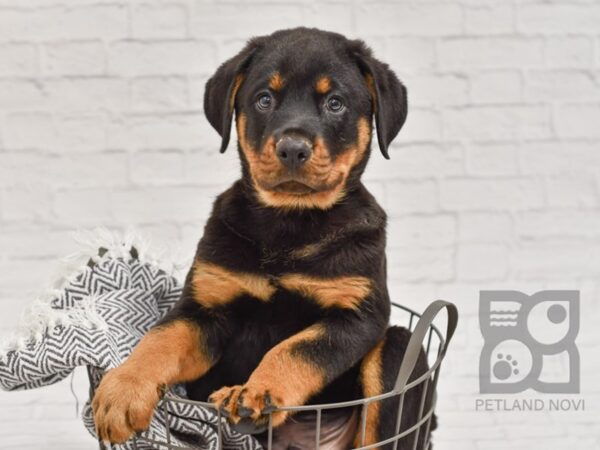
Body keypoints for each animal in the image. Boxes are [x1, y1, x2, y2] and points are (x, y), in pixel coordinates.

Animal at [91, 28, 434, 450]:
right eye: (264, 99)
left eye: (335, 103)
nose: (292, 148)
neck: (289, 222)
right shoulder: (205, 308)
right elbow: (161, 338)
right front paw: (122, 388)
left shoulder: (357, 315)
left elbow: (295, 349)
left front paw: (256, 392)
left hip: (398, 347)